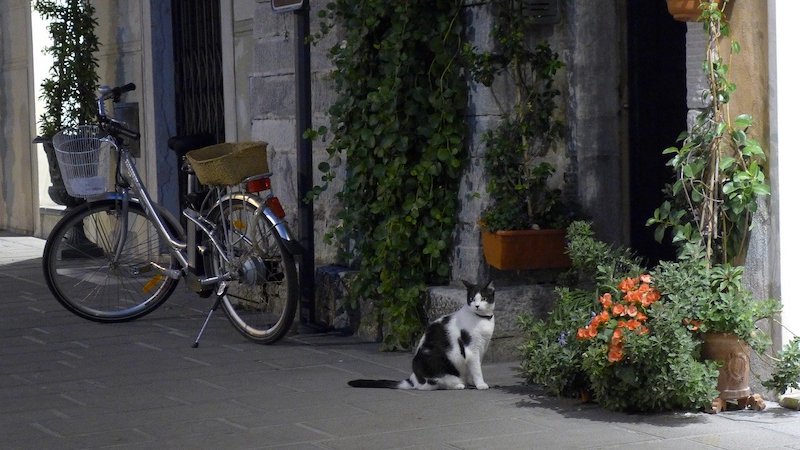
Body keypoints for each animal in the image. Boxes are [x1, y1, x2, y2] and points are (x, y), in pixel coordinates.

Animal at [348, 282, 494, 390]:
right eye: (471, 299)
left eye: (484, 299)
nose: (477, 306)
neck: (482, 319)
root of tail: (414, 379)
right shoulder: (471, 349)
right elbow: (476, 368)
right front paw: (480, 384)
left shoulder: (483, 348)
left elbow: (474, 367)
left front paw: (473, 382)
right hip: (436, 364)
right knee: (435, 383)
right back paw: (458, 384)